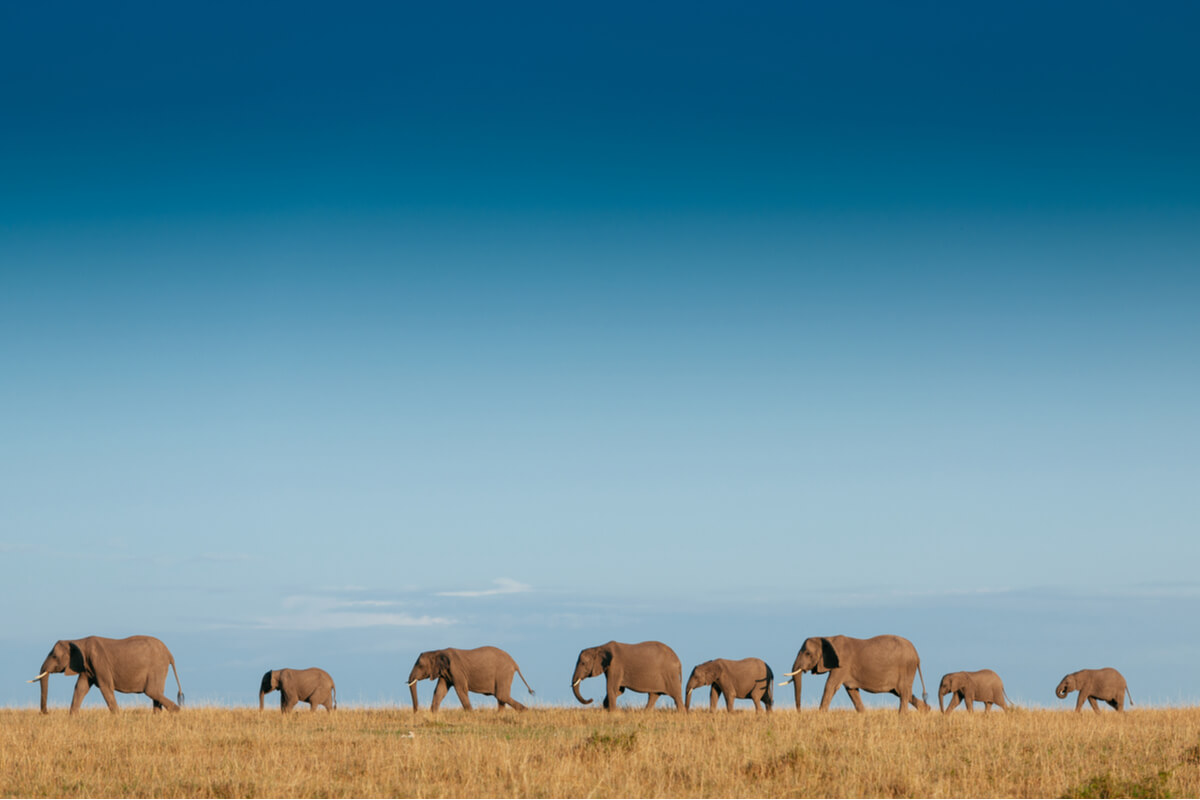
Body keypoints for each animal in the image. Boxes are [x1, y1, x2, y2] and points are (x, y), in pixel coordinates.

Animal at [28, 633, 184, 714]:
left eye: (54, 656)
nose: (45, 713)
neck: (78, 641)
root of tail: (170, 653)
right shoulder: (87, 666)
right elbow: (80, 688)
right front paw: (72, 717)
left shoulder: (99, 662)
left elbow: (106, 688)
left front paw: (118, 717)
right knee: (156, 693)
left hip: (157, 666)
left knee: (151, 691)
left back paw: (177, 712)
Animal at [777, 638, 926, 714]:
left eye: (808, 653)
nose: (799, 713)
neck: (828, 639)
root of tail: (917, 655)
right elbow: (851, 691)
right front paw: (864, 715)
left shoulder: (842, 664)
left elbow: (830, 686)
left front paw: (820, 715)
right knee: (903, 693)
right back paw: (926, 711)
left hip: (906, 667)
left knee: (904, 693)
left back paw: (902, 717)